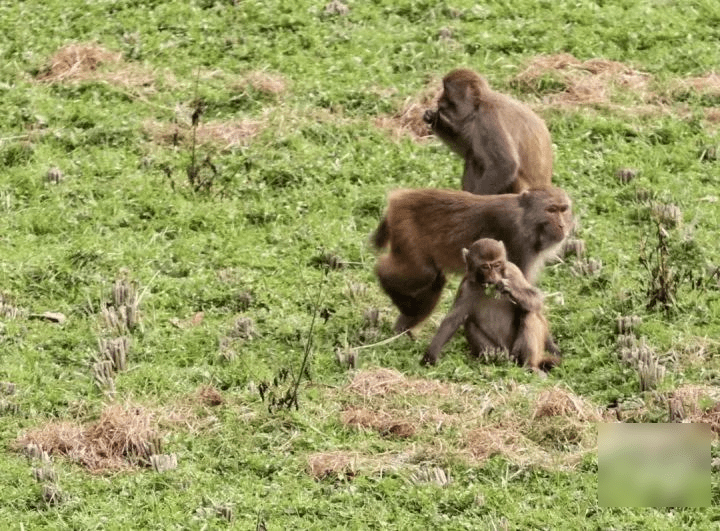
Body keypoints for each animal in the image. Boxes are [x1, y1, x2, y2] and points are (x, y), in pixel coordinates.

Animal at [374, 189, 572, 334]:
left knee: (435, 279)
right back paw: (384, 276)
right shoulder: (518, 242)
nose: (563, 225)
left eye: (563, 210)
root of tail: (398, 198)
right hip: (405, 228)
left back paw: (404, 325)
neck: (526, 219)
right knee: (422, 274)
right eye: (551, 210)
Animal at [422, 239, 564, 376]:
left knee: (529, 313)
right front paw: (430, 355)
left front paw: (510, 289)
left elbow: (535, 299)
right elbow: (453, 320)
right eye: (485, 266)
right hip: (500, 351)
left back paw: (530, 365)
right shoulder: (466, 286)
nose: (493, 277)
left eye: (497, 265)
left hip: (516, 350)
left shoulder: (513, 271)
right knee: (470, 324)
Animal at [424, 68, 556, 195]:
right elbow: (467, 150)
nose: (438, 100)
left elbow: (505, 165)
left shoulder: (489, 117)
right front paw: (434, 118)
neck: (479, 104)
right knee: (473, 157)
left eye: (446, 91)